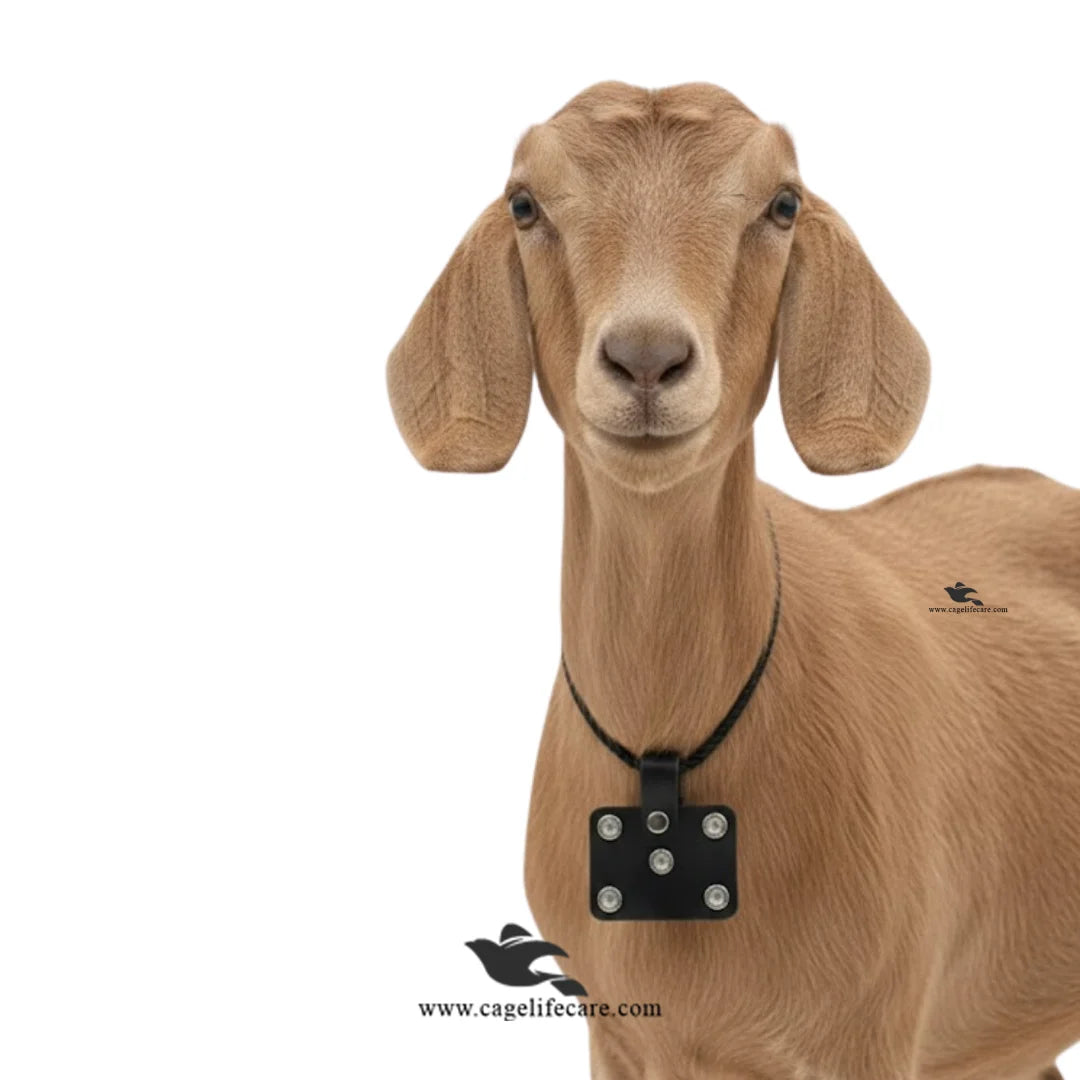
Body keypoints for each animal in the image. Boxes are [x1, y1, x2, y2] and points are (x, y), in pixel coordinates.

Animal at [386, 81, 1080, 1080]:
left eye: (782, 204)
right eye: (525, 204)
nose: (645, 357)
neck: (666, 768)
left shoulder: (868, 1031)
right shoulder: (619, 1034)